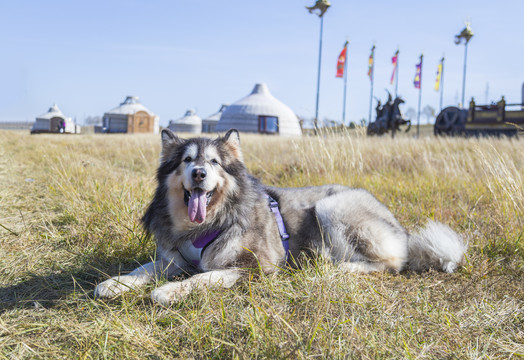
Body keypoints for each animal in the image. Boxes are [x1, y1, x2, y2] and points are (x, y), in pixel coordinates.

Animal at [95, 129, 466, 304]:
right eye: (186, 160)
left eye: (214, 162)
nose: (199, 173)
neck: (205, 226)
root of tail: (402, 229)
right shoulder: (175, 259)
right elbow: (145, 268)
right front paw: (116, 283)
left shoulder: (254, 267)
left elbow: (203, 277)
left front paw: (168, 292)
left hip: (333, 208)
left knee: (390, 263)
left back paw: (337, 269)